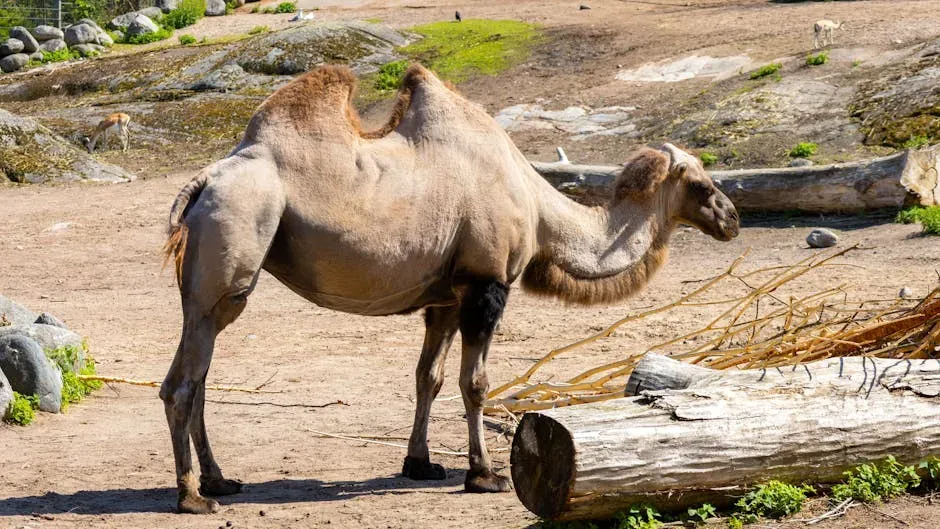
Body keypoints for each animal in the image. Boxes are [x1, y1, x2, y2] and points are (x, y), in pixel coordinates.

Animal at [160, 64, 740, 514]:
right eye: (701, 184)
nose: (732, 218)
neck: (537, 206)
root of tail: (205, 179)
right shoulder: (487, 282)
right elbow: (475, 382)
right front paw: (485, 475)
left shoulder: (443, 296)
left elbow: (428, 378)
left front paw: (419, 463)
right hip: (234, 250)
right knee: (186, 382)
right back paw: (194, 497)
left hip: (205, 282)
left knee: (194, 375)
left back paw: (220, 480)